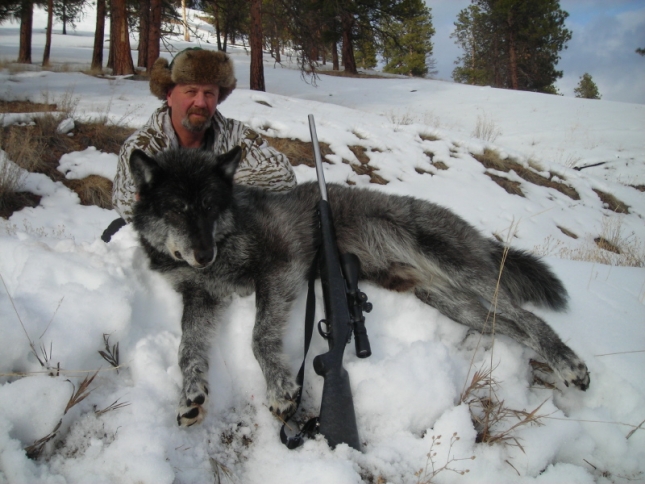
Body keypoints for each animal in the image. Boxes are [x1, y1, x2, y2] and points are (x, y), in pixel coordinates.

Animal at [127, 146, 588, 426]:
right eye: (176, 209)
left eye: (209, 206)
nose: (203, 255)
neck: (227, 235)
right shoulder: (200, 297)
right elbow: (187, 348)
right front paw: (190, 394)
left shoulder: (280, 268)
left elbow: (259, 337)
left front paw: (280, 388)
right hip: (451, 303)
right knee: (505, 323)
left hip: (459, 270)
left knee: (526, 316)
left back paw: (568, 364)